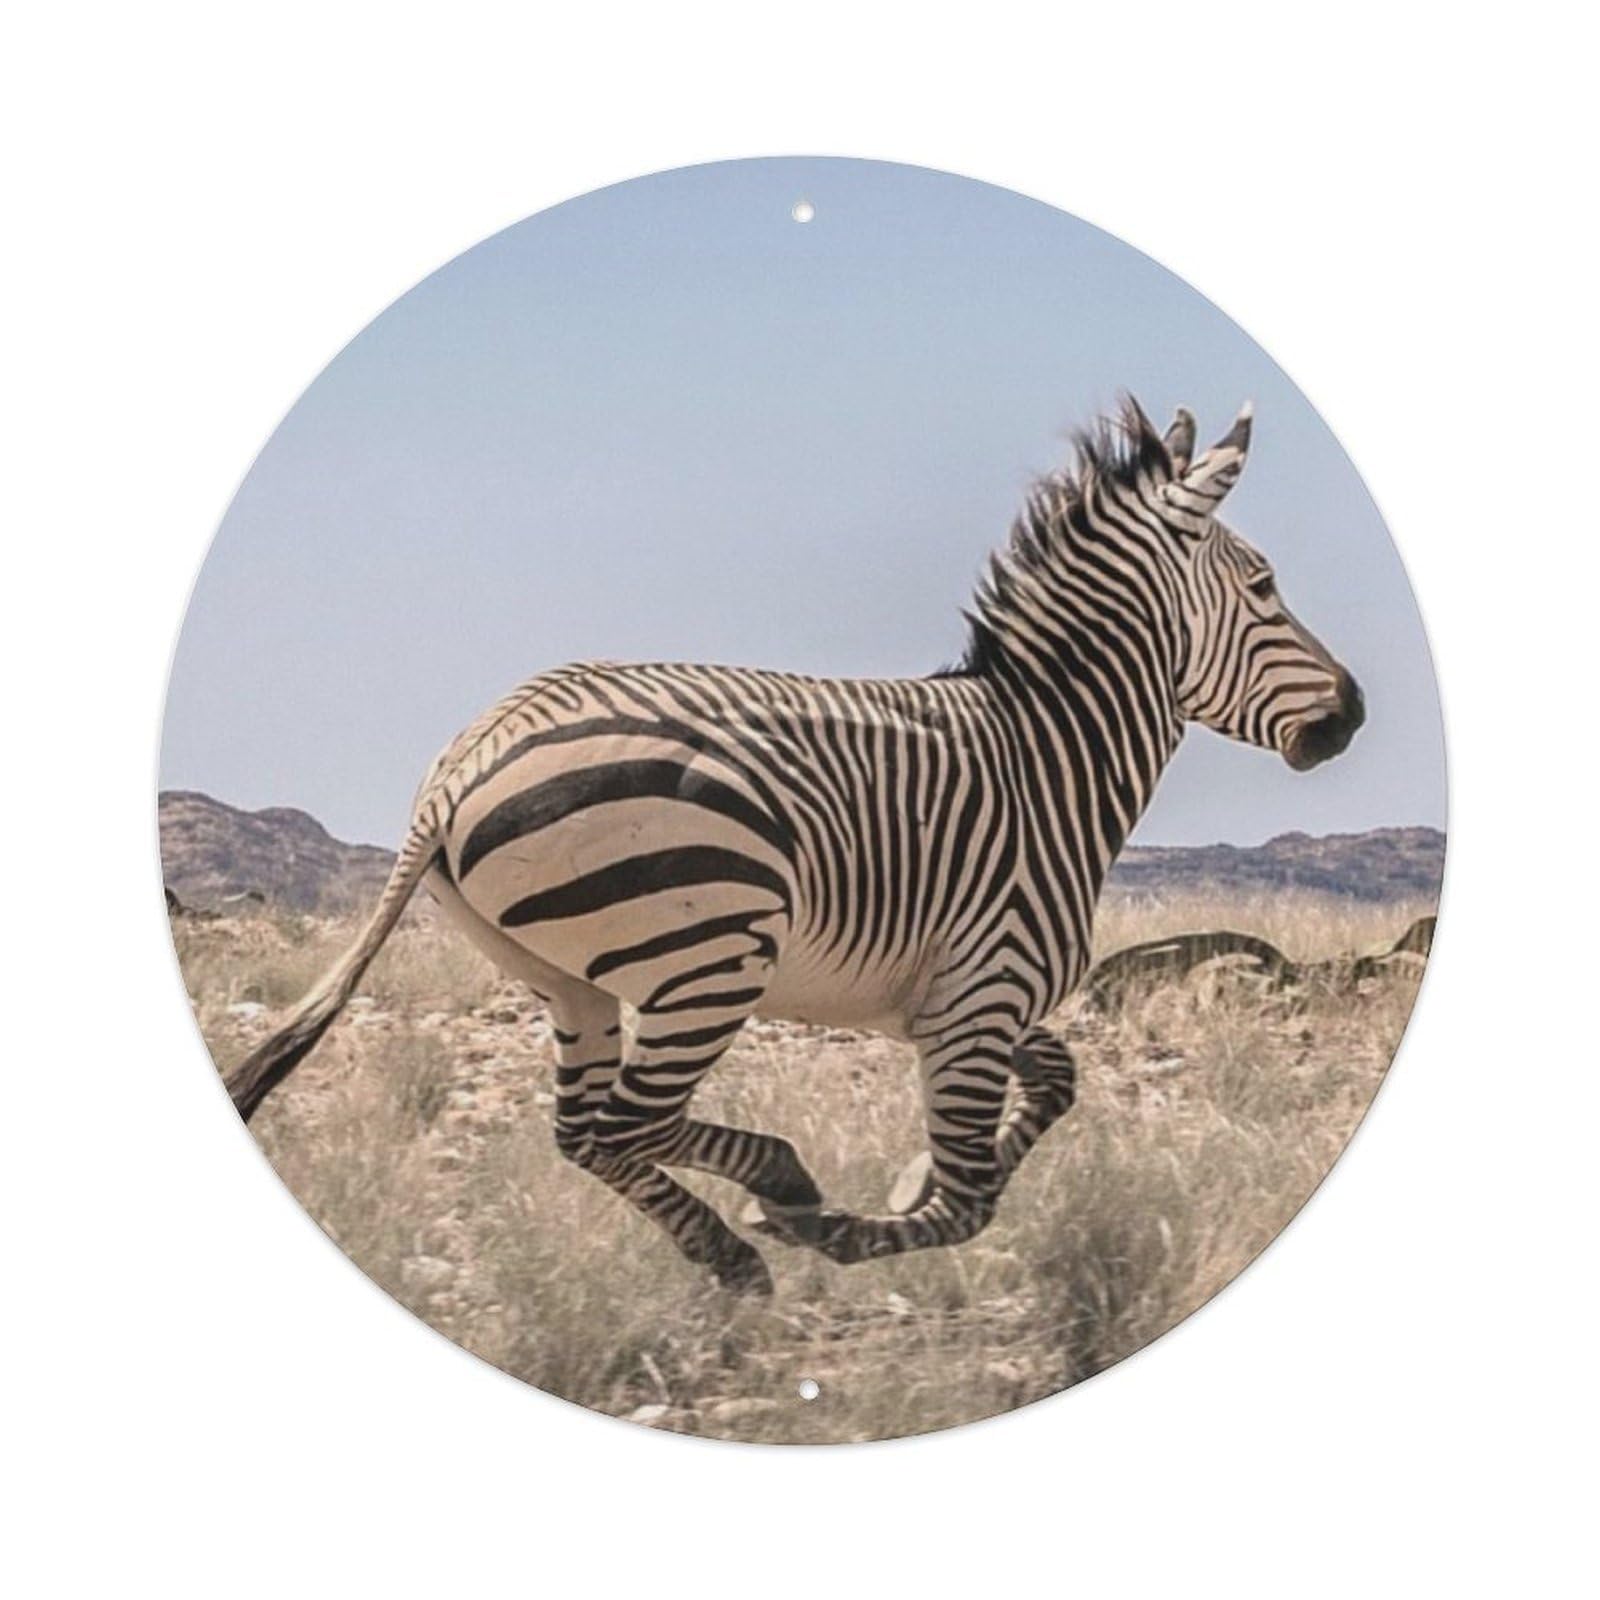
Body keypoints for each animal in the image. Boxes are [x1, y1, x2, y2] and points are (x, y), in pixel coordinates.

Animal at [224, 398, 1365, 1295]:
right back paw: (775, 1191)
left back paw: (729, 1246)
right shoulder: (981, 989)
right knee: (622, 1124)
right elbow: (967, 1201)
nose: (1351, 713)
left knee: (583, 1131)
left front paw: (897, 1183)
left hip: (566, 978)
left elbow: (1056, 1085)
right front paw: (850, 1220)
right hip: (712, 954)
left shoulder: (960, 1003)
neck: (1047, 753)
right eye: (1265, 586)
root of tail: (464, 756)